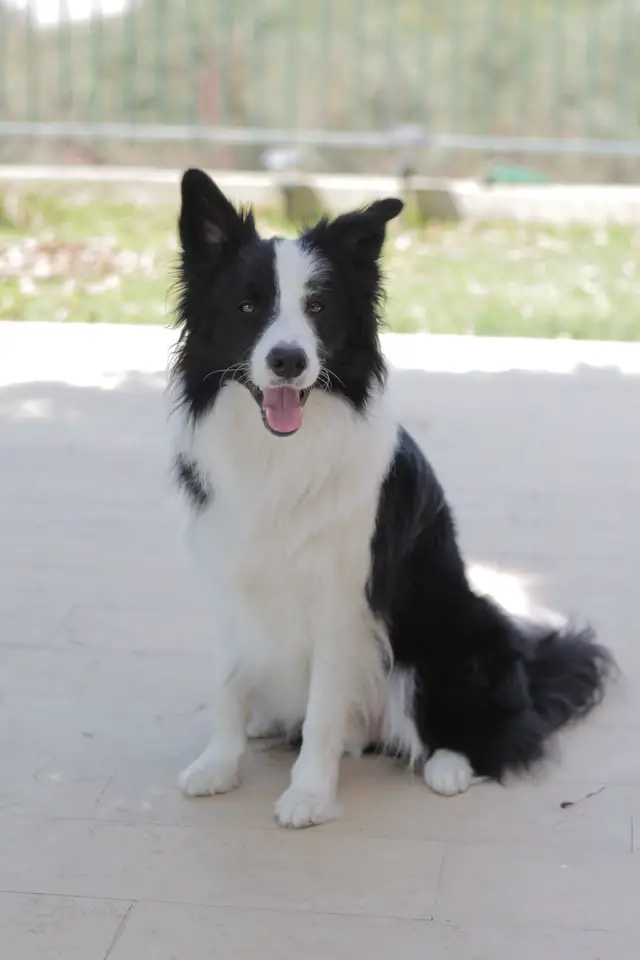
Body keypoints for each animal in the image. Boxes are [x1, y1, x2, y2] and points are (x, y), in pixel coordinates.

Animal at [170, 169, 608, 828]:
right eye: (247, 307)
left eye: (319, 307)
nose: (288, 360)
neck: (281, 452)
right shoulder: (232, 577)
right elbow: (229, 684)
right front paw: (219, 766)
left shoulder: (342, 600)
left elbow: (323, 709)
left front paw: (308, 795)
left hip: (456, 633)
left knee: (496, 734)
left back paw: (450, 766)